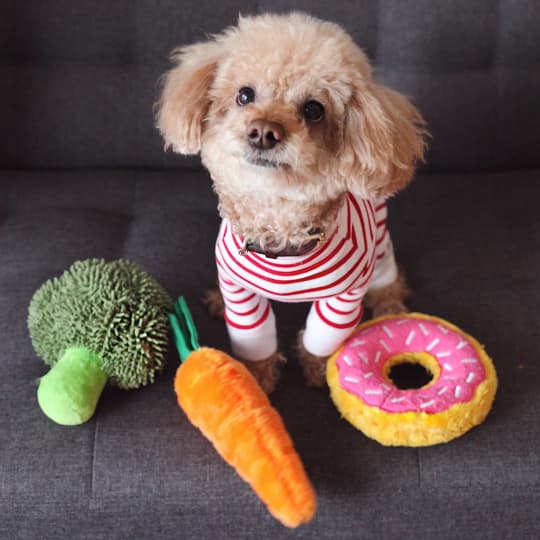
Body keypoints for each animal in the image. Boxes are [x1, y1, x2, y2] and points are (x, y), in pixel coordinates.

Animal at [155, 11, 426, 392]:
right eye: (244, 95)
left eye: (314, 110)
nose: (263, 132)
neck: (279, 228)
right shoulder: (240, 292)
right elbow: (255, 341)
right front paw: (254, 380)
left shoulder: (343, 299)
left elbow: (320, 338)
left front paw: (318, 371)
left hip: (380, 243)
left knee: (389, 278)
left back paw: (390, 306)